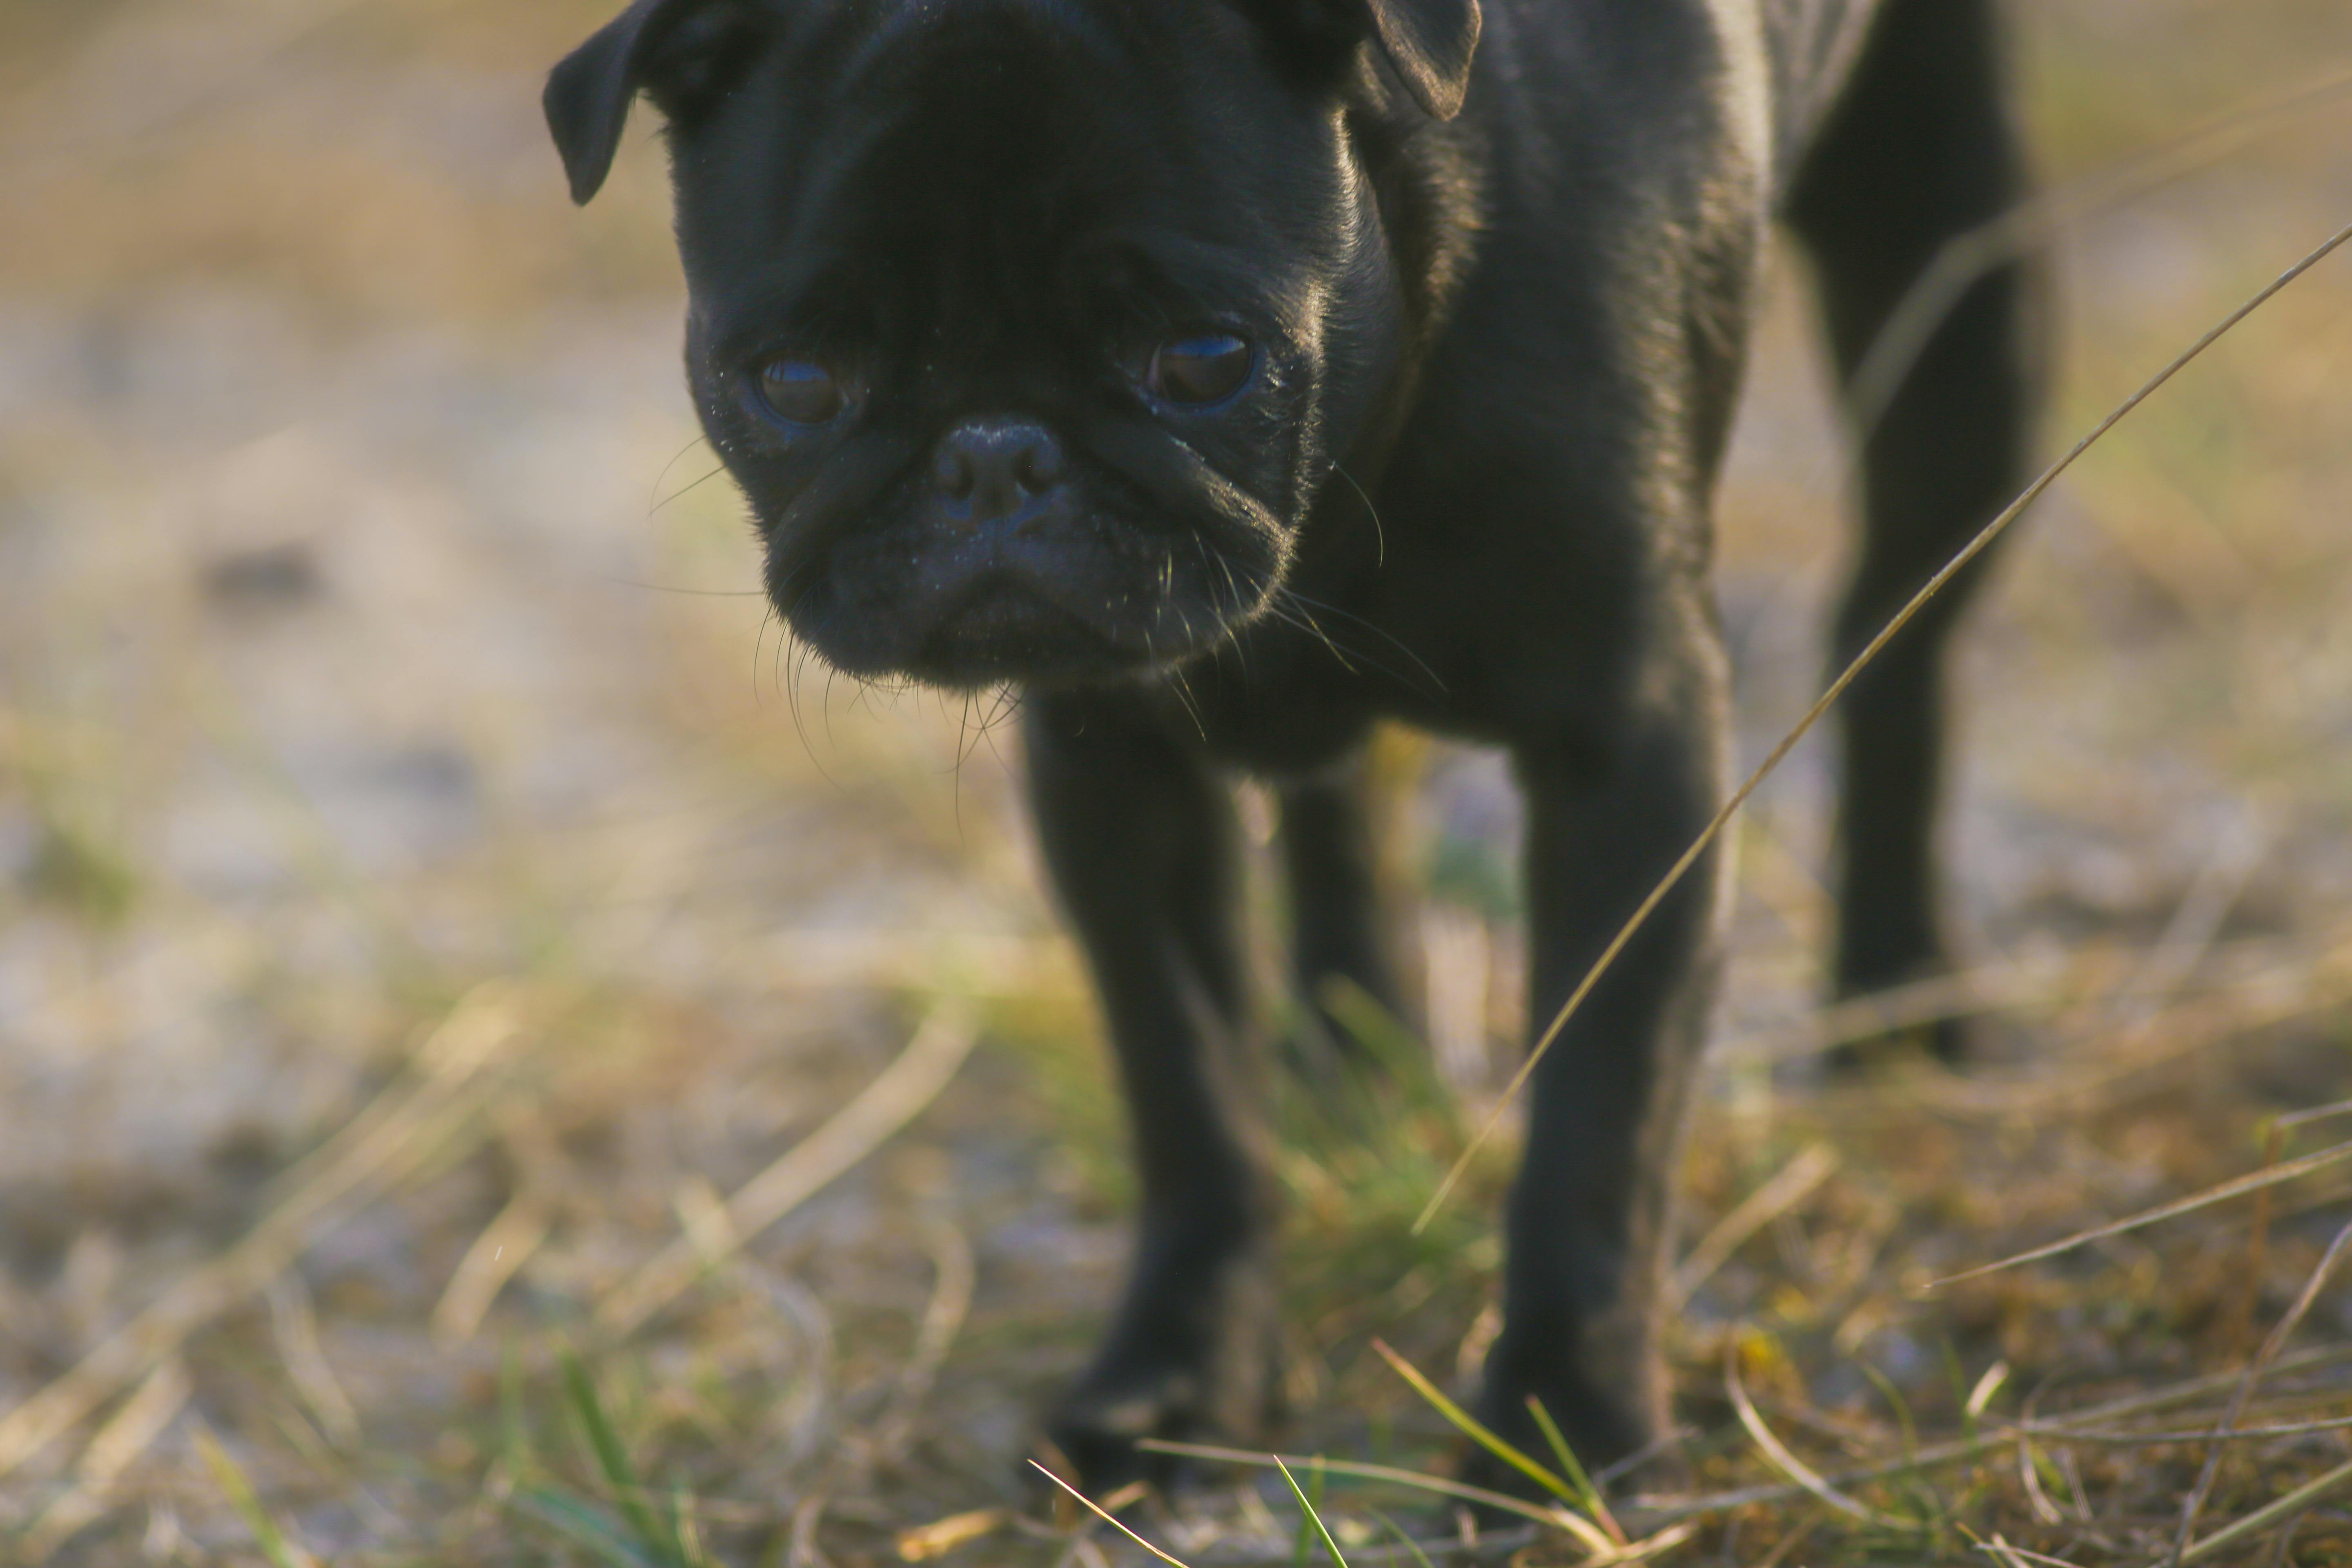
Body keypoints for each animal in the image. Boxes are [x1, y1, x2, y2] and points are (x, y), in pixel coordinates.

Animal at [541, 0, 2032, 1495]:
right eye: (796, 382)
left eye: (1205, 360)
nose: (994, 455)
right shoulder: (1112, 778)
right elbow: (1193, 1091)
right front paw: (1181, 1374)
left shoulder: (1634, 751)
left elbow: (1601, 1113)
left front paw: (1563, 1417)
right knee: (1344, 814)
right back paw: (1354, 1062)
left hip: (1952, 282)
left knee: (1897, 638)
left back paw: (1899, 992)